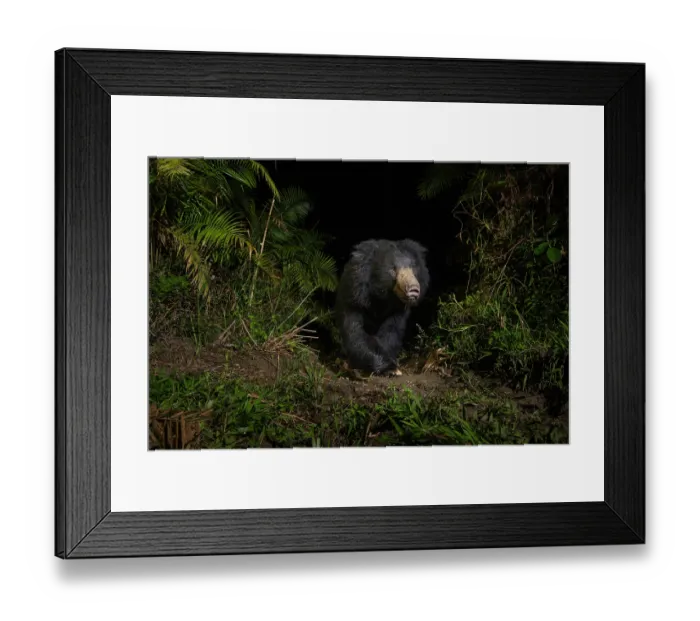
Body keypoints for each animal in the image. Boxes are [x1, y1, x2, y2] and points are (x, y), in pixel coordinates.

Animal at [334, 238, 429, 376]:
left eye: (413, 268)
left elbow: (391, 333)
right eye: (393, 269)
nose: (413, 289)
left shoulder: (397, 311)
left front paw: (392, 367)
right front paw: (387, 367)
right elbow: (355, 330)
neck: (382, 297)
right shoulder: (354, 295)